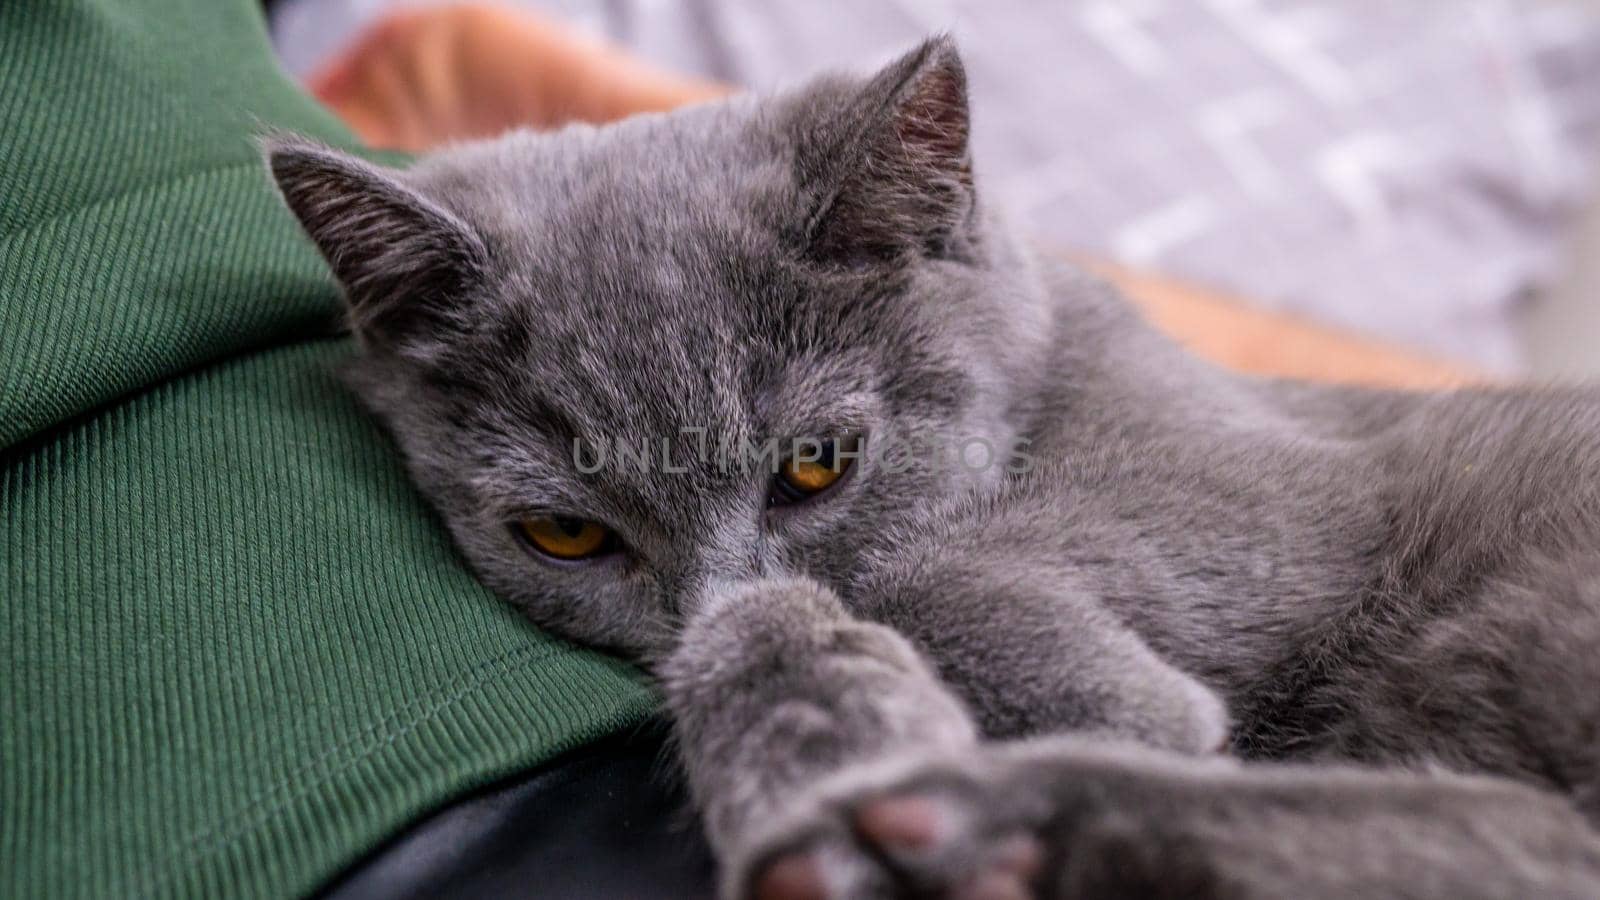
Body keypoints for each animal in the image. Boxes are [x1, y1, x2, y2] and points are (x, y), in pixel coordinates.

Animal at [268, 38, 1600, 890]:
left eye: (815, 467)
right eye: (567, 536)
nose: (723, 597)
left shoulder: (1269, 484)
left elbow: (926, 575)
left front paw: (1115, 701)